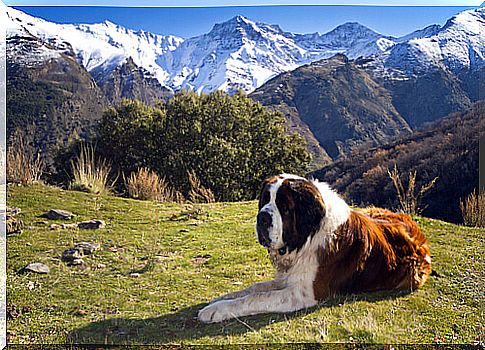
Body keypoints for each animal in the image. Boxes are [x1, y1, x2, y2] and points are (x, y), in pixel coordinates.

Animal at [197, 174, 432, 324]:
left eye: (284, 207)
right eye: (264, 200)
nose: (262, 217)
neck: (307, 237)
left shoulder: (303, 293)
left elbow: (256, 298)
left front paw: (216, 310)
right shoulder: (287, 277)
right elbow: (254, 288)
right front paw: (222, 298)